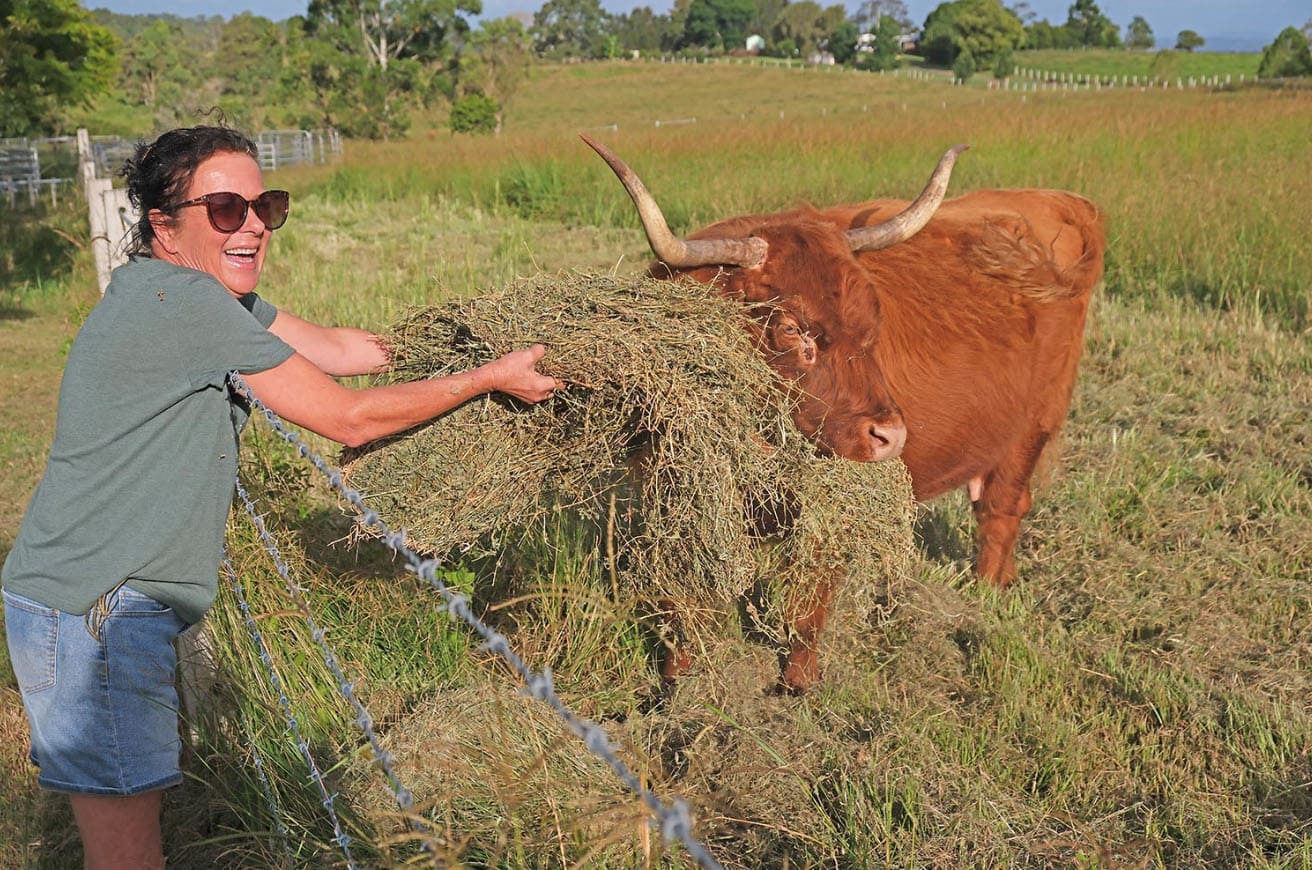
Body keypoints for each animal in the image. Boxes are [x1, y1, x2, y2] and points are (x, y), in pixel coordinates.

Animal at [581, 134, 1107, 692]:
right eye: (791, 328)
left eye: (872, 319)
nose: (890, 435)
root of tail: (1057, 201)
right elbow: (691, 597)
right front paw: (678, 683)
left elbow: (810, 598)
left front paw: (796, 683)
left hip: (1033, 425)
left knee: (1000, 510)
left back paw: (983, 599)